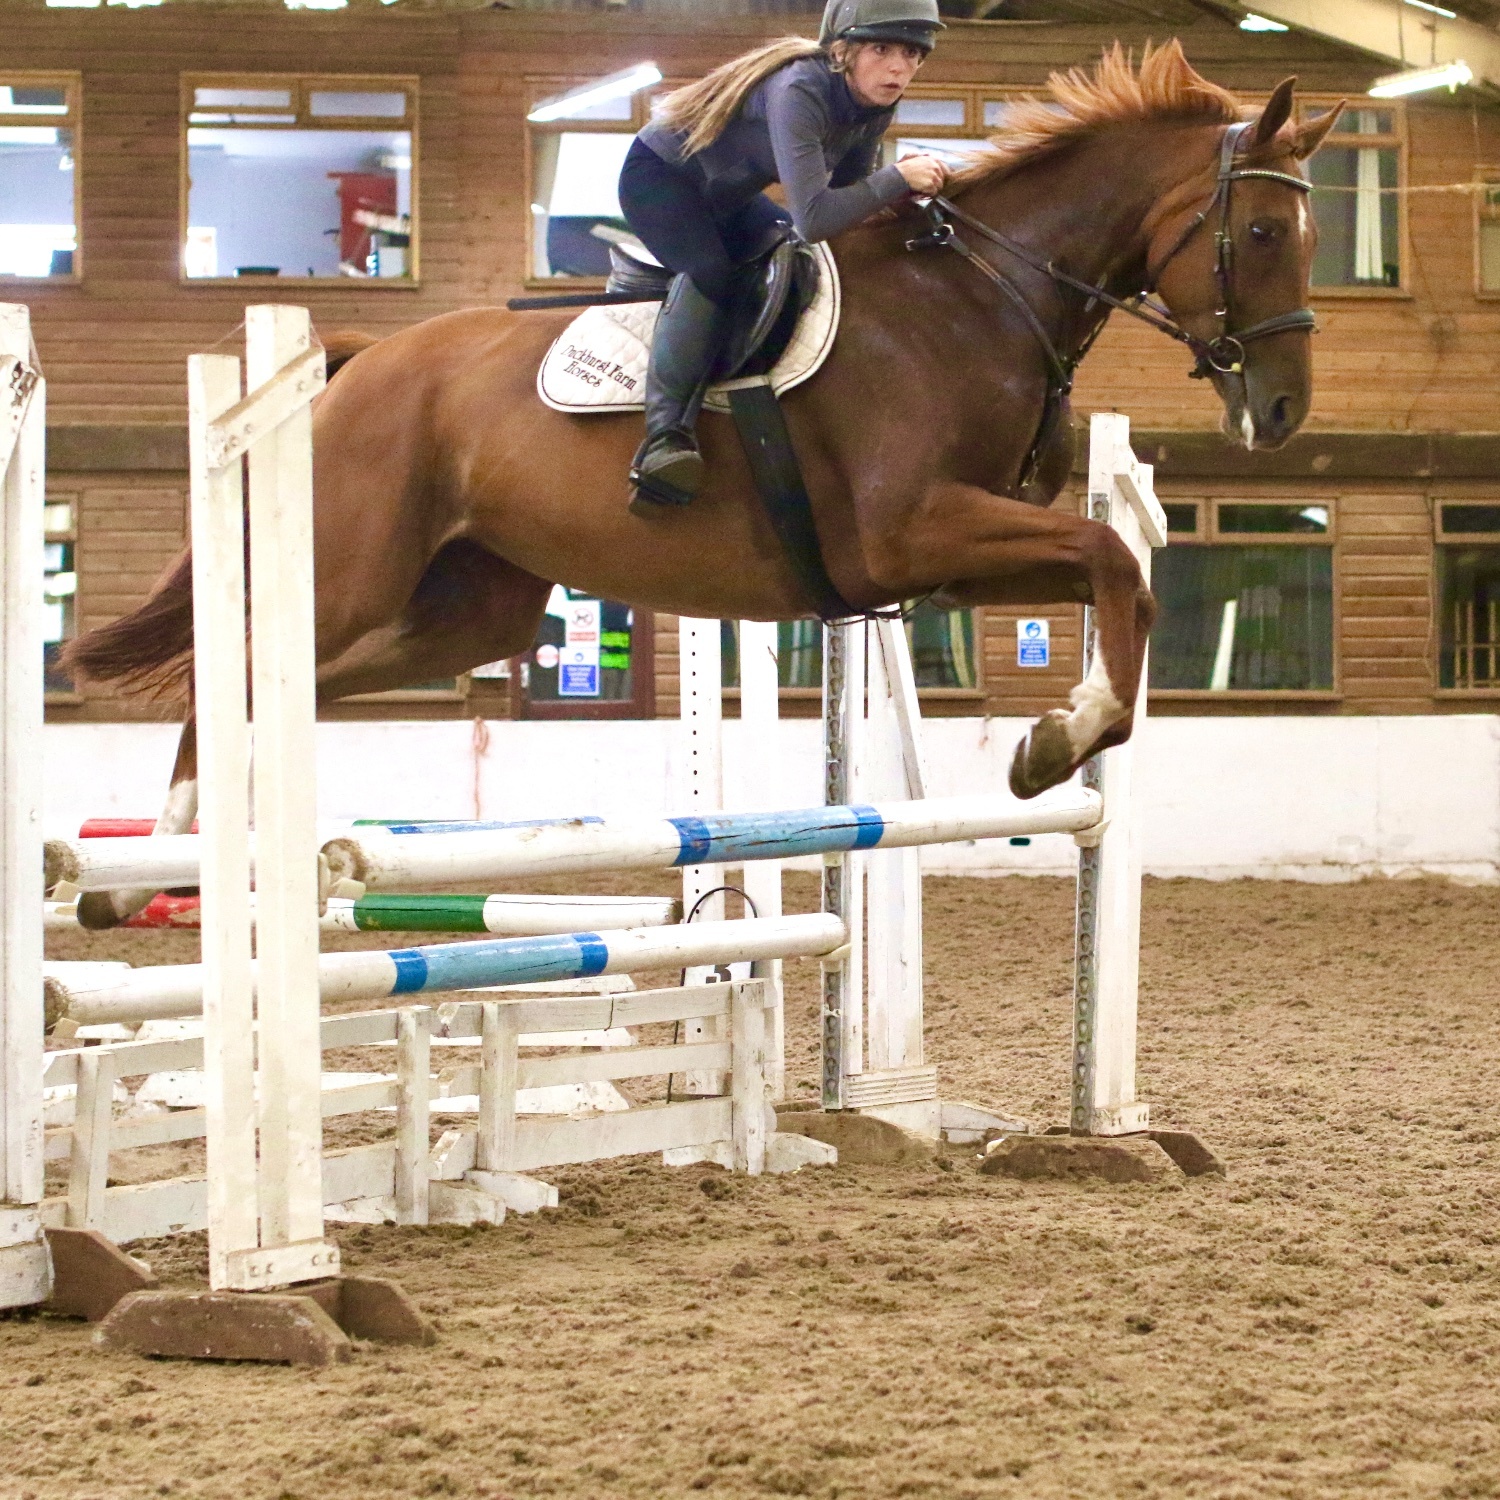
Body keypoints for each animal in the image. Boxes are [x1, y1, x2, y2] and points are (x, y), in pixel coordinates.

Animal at [62, 41, 1340, 929]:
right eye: (1263, 233)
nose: (1282, 412)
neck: (979, 295)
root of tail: (358, 368)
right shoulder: (911, 535)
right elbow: (1115, 559)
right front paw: (1051, 744)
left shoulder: (947, 565)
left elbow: (1120, 580)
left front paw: (1056, 742)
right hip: (352, 570)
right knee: (227, 674)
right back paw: (137, 875)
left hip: (464, 606)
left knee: (286, 686)